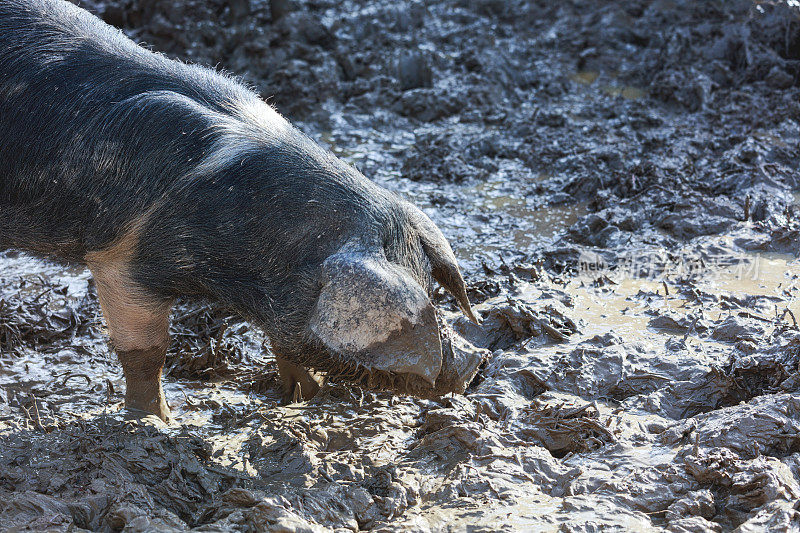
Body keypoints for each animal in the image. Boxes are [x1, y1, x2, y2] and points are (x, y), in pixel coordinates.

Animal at [0, 1, 482, 424]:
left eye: (431, 285)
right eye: (423, 303)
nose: (475, 364)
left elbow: (287, 345)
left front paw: (303, 397)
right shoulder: (121, 261)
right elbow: (146, 353)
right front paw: (157, 422)